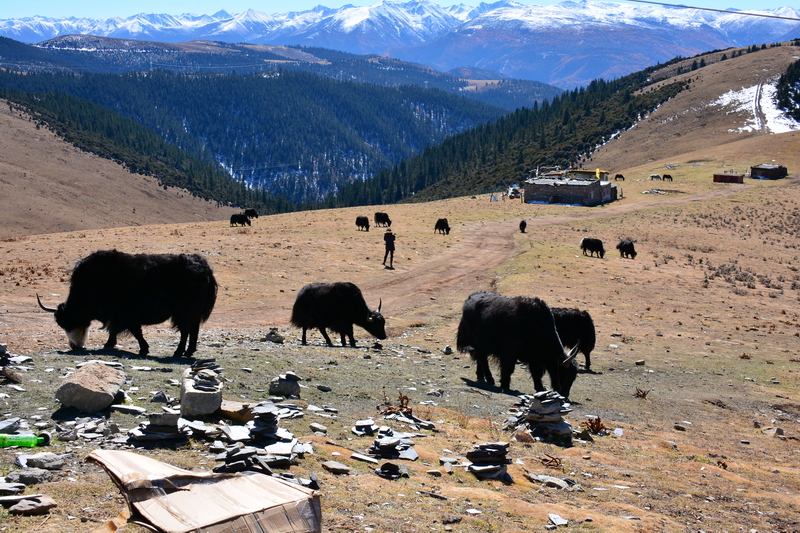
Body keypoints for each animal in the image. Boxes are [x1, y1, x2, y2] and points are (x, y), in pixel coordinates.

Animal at [37, 250, 217, 357]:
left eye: (66, 323)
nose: (74, 346)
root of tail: (206, 268)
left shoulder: (125, 315)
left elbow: (134, 331)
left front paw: (143, 349)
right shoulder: (117, 315)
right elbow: (115, 329)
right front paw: (110, 344)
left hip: (184, 311)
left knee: (185, 331)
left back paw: (179, 352)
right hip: (192, 312)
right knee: (193, 329)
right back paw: (189, 352)